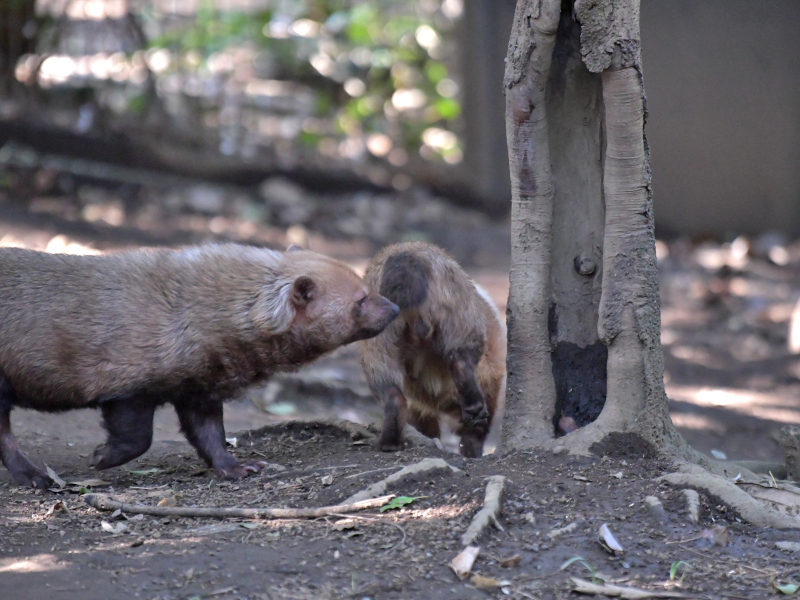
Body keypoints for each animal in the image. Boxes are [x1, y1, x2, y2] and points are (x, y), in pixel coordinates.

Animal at [0, 244, 398, 488]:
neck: (185, 311)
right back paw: (34, 476)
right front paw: (101, 457)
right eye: (361, 298)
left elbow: (210, 434)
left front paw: (237, 467)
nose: (395, 308)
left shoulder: (197, 387)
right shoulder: (129, 384)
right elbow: (137, 437)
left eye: (364, 283)